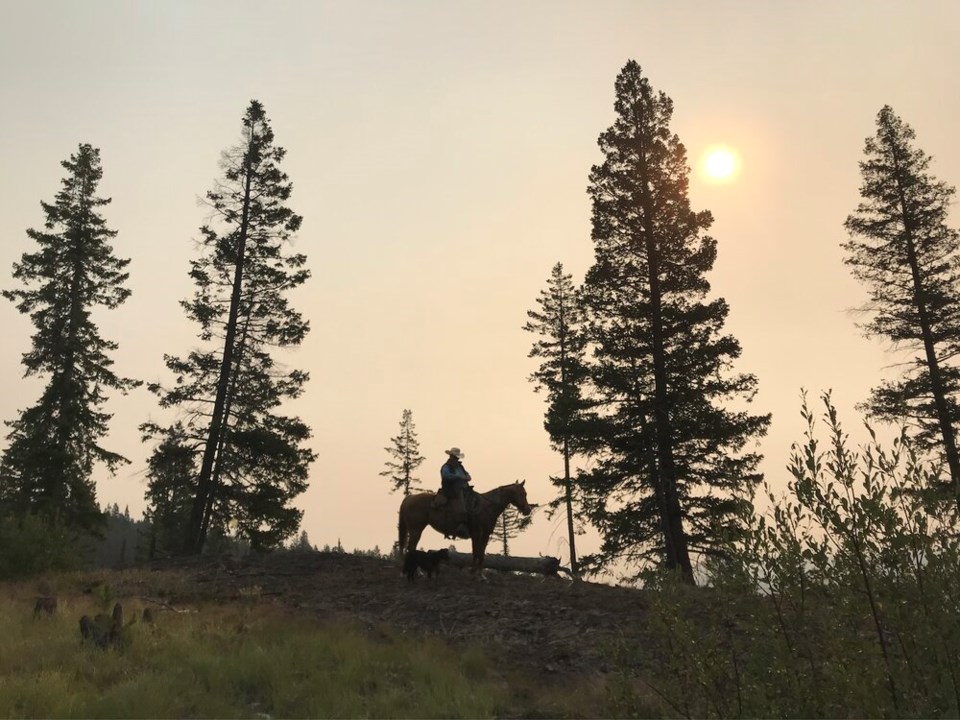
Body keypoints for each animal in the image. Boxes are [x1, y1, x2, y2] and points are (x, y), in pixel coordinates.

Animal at [398, 480, 532, 572]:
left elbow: (481, 554)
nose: (528, 510)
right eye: (522, 493)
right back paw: (418, 572)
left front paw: (481, 575)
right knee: (411, 548)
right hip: (416, 529)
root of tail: (409, 497)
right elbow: (476, 552)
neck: (487, 507)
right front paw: (474, 573)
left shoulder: (485, 535)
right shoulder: (477, 534)